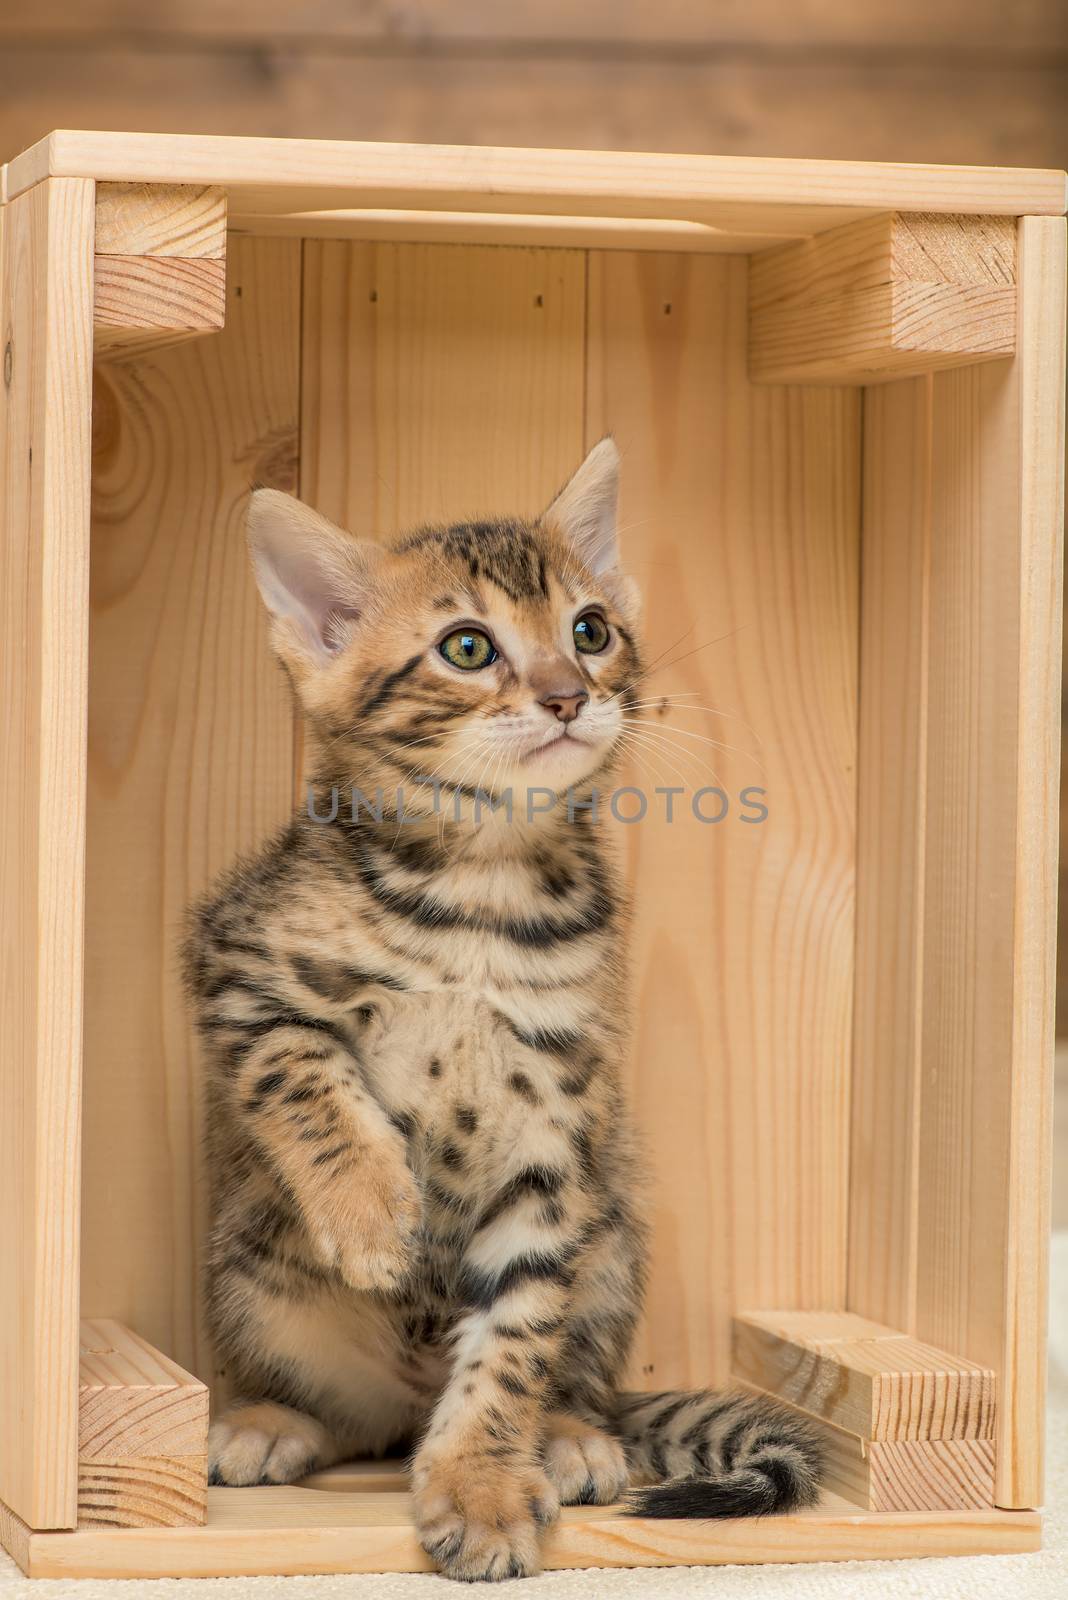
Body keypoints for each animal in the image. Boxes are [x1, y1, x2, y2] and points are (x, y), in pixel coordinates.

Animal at [187, 444, 824, 1580]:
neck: (483, 891)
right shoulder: (237, 966)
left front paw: (482, 1485)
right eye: (469, 647)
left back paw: (568, 1437)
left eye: (590, 629)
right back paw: (272, 1420)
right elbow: (303, 1074)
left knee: (563, 1377)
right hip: (253, 1268)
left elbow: (515, 1335)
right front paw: (373, 1213)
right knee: (347, 1419)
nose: (570, 695)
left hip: (612, 1235)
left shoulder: (556, 1129)